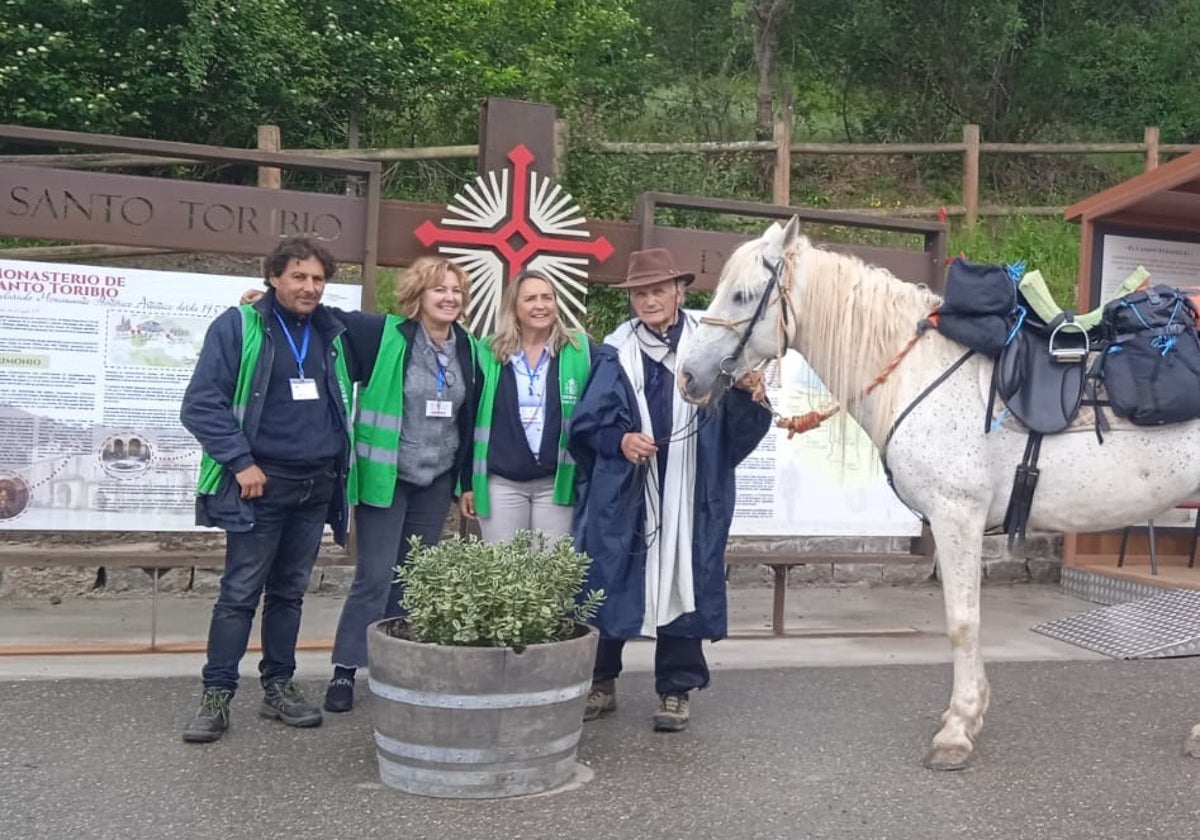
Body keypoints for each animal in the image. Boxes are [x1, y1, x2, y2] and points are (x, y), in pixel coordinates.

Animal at [681, 216, 1200, 768]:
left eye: (742, 294)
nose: (688, 375)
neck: (919, 369)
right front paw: (968, 715)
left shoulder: (957, 516)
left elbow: (962, 622)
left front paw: (957, 730)